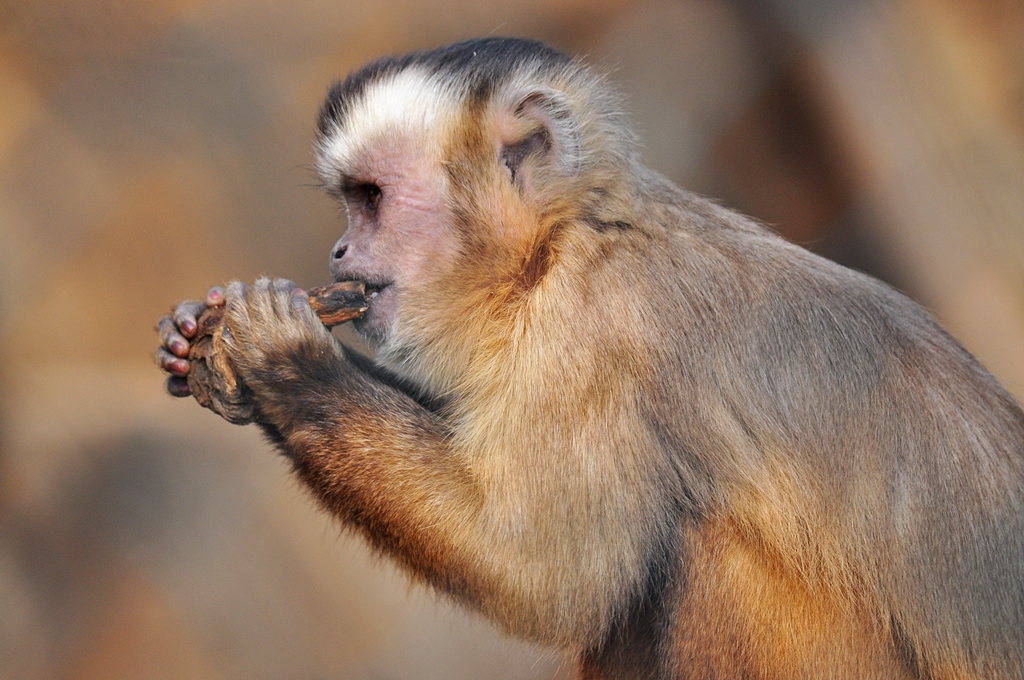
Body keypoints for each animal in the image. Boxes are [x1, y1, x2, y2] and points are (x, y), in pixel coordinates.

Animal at [156, 37, 1024, 679]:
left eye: (369, 200)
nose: (338, 250)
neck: (564, 239)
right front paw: (205, 340)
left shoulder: (596, 326)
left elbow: (544, 575)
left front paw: (284, 362)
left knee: (696, 548)